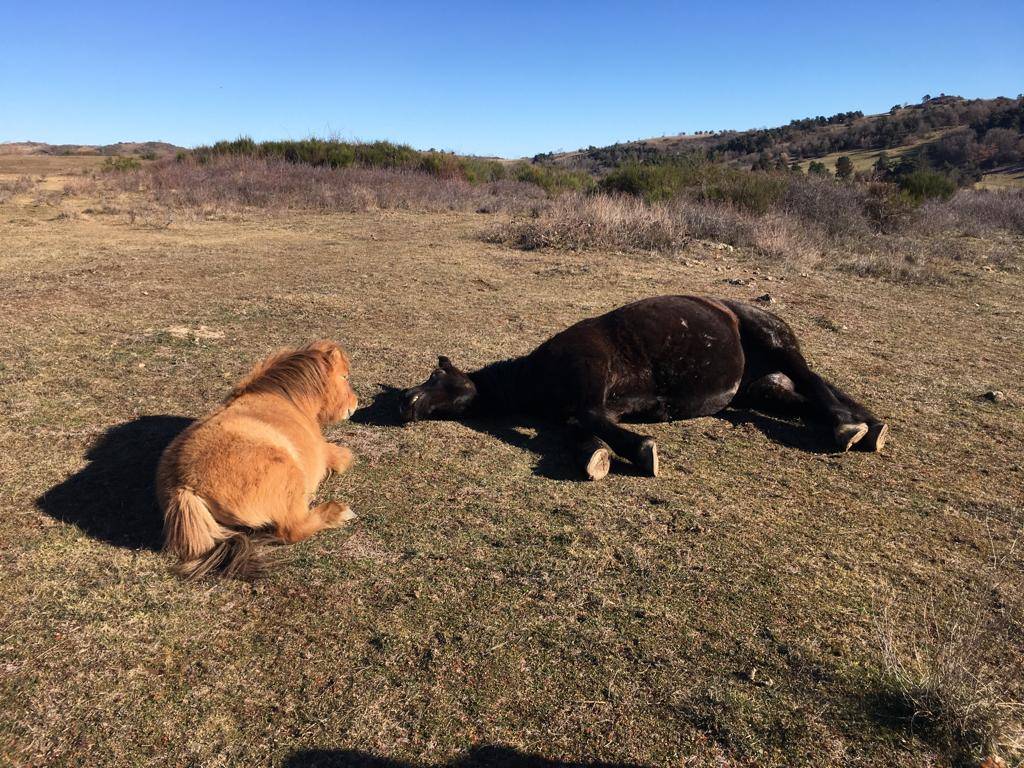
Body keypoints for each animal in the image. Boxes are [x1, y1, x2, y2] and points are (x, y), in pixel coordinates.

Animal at [157, 340, 359, 578]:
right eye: (344, 376)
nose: (355, 404)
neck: (287, 399)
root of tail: (183, 486)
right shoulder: (326, 452)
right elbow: (345, 456)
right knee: (293, 530)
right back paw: (338, 512)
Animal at [398, 295, 887, 480]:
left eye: (437, 378)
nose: (406, 402)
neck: (540, 373)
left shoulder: (593, 385)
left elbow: (587, 419)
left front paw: (640, 450)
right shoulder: (598, 407)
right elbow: (581, 428)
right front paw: (597, 455)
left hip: (776, 345)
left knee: (814, 382)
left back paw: (851, 427)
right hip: (757, 390)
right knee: (805, 397)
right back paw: (865, 425)